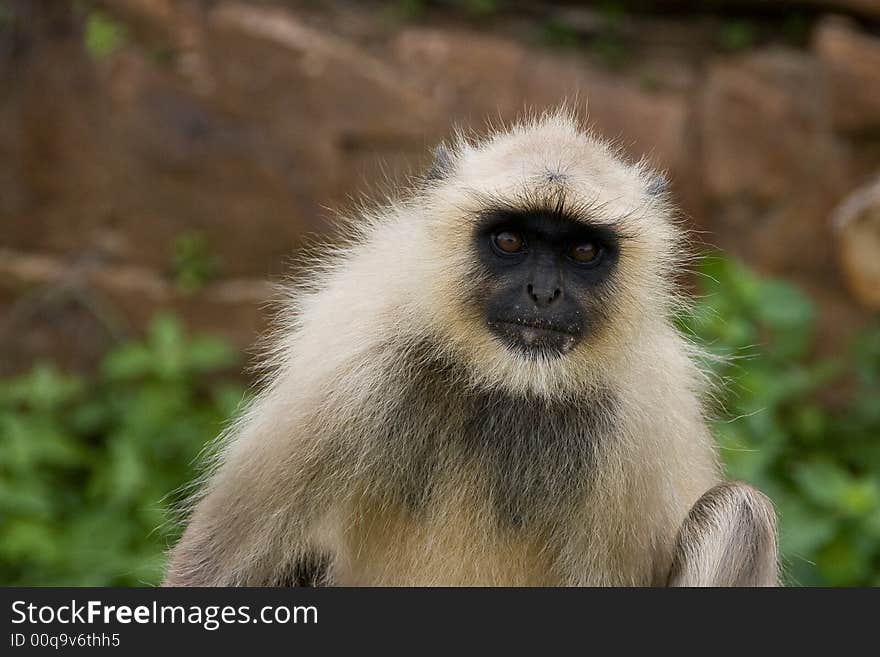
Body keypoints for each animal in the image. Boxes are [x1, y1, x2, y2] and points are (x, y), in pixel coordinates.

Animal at [163, 110, 776, 588]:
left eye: (582, 251)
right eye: (509, 240)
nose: (543, 293)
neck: (506, 384)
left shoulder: (639, 418)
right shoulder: (354, 361)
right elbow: (210, 569)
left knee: (741, 513)